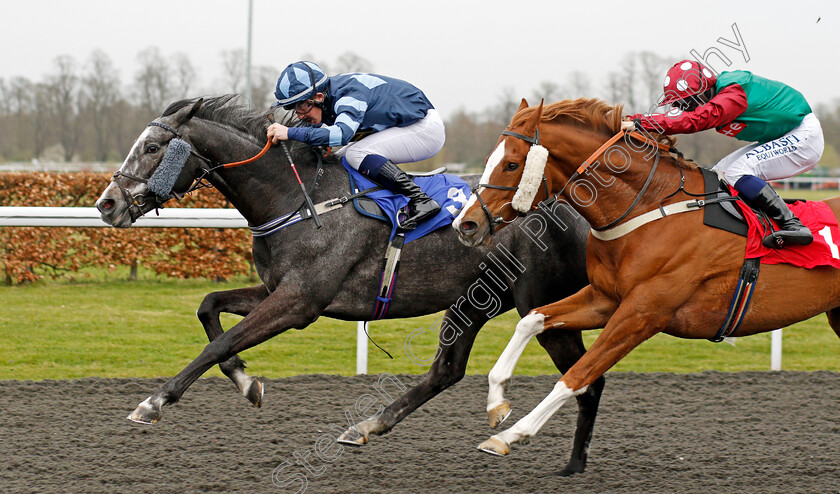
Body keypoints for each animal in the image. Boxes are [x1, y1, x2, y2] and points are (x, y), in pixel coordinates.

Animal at [93, 94, 604, 476]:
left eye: (153, 147)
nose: (106, 203)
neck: (298, 199)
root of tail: (576, 206)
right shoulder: (277, 290)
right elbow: (208, 306)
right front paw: (246, 382)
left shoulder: (299, 302)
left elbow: (219, 344)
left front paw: (154, 401)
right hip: (475, 299)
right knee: (448, 370)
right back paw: (368, 427)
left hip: (540, 302)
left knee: (587, 377)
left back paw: (571, 463)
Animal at [452, 97, 840, 460]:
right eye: (489, 158)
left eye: (511, 164)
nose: (466, 224)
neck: (650, 208)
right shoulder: (605, 299)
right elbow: (531, 320)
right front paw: (496, 402)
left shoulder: (642, 314)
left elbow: (576, 376)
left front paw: (510, 435)